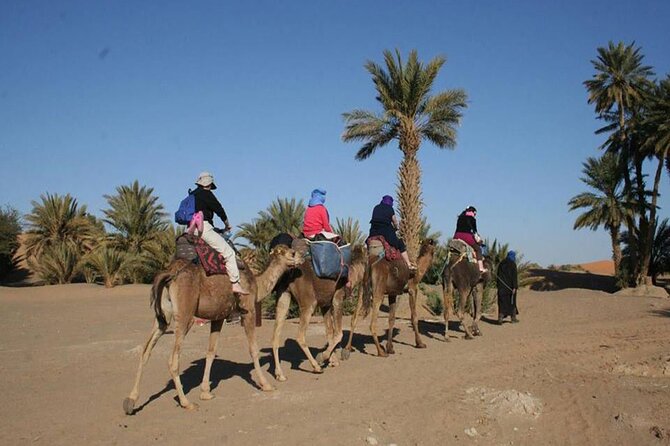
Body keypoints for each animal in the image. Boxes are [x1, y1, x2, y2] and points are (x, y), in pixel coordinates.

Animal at [123, 244, 304, 414]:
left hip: (162, 318)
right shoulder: (248, 310)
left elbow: (211, 352)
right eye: (292, 252)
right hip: (185, 314)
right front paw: (267, 385)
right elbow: (253, 348)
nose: (302, 257)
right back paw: (186, 402)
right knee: (173, 360)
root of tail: (169, 275)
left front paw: (205, 392)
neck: (257, 285)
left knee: (146, 350)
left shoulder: (218, 317)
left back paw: (131, 401)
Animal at [272, 240, 370, 380]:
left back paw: (279, 374)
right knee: (300, 336)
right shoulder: (337, 298)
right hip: (309, 302)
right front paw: (323, 357)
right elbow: (338, 333)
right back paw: (316, 366)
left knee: (275, 336)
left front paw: (333, 360)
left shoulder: (325, 305)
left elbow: (329, 333)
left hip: (283, 296)